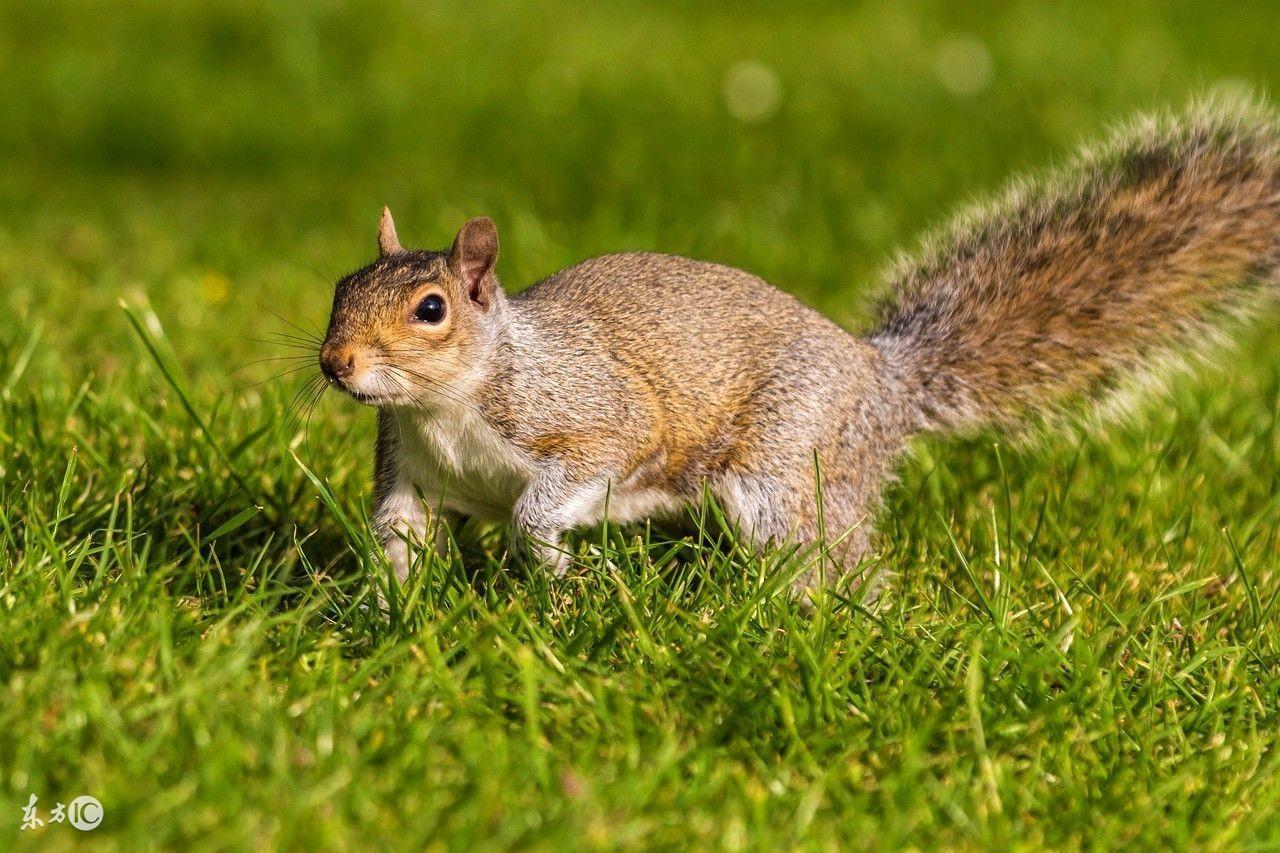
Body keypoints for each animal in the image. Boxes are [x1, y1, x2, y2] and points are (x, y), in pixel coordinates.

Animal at [317, 97, 1280, 591]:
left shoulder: (589, 414)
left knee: (832, 561)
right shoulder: (406, 467)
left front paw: (557, 587)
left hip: (788, 470)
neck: (447, 405)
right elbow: (398, 538)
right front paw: (395, 619)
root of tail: (883, 380)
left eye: (432, 308)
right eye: (338, 289)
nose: (335, 363)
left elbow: (566, 484)